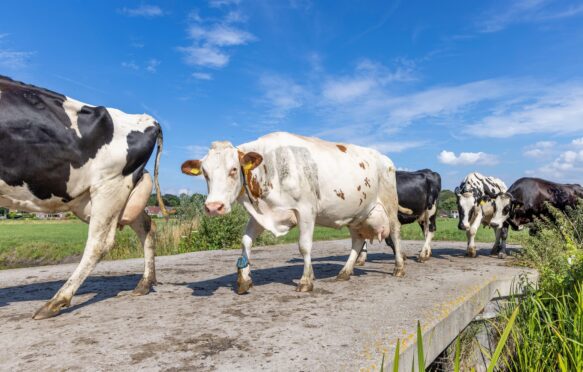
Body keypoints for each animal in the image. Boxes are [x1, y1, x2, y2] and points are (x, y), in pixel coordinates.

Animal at [0, 76, 165, 320]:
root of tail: (147, 119)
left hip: (109, 186)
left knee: (99, 243)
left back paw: (56, 301)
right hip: (114, 194)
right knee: (146, 225)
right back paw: (144, 284)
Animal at [181, 132, 406, 294]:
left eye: (234, 169)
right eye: (205, 173)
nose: (213, 207)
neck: (271, 167)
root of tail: (384, 158)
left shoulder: (306, 210)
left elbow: (304, 246)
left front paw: (306, 281)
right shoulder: (260, 214)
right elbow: (245, 242)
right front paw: (244, 279)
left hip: (389, 204)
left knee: (395, 233)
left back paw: (399, 268)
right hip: (356, 213)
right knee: (357, 241)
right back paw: (344, 272)